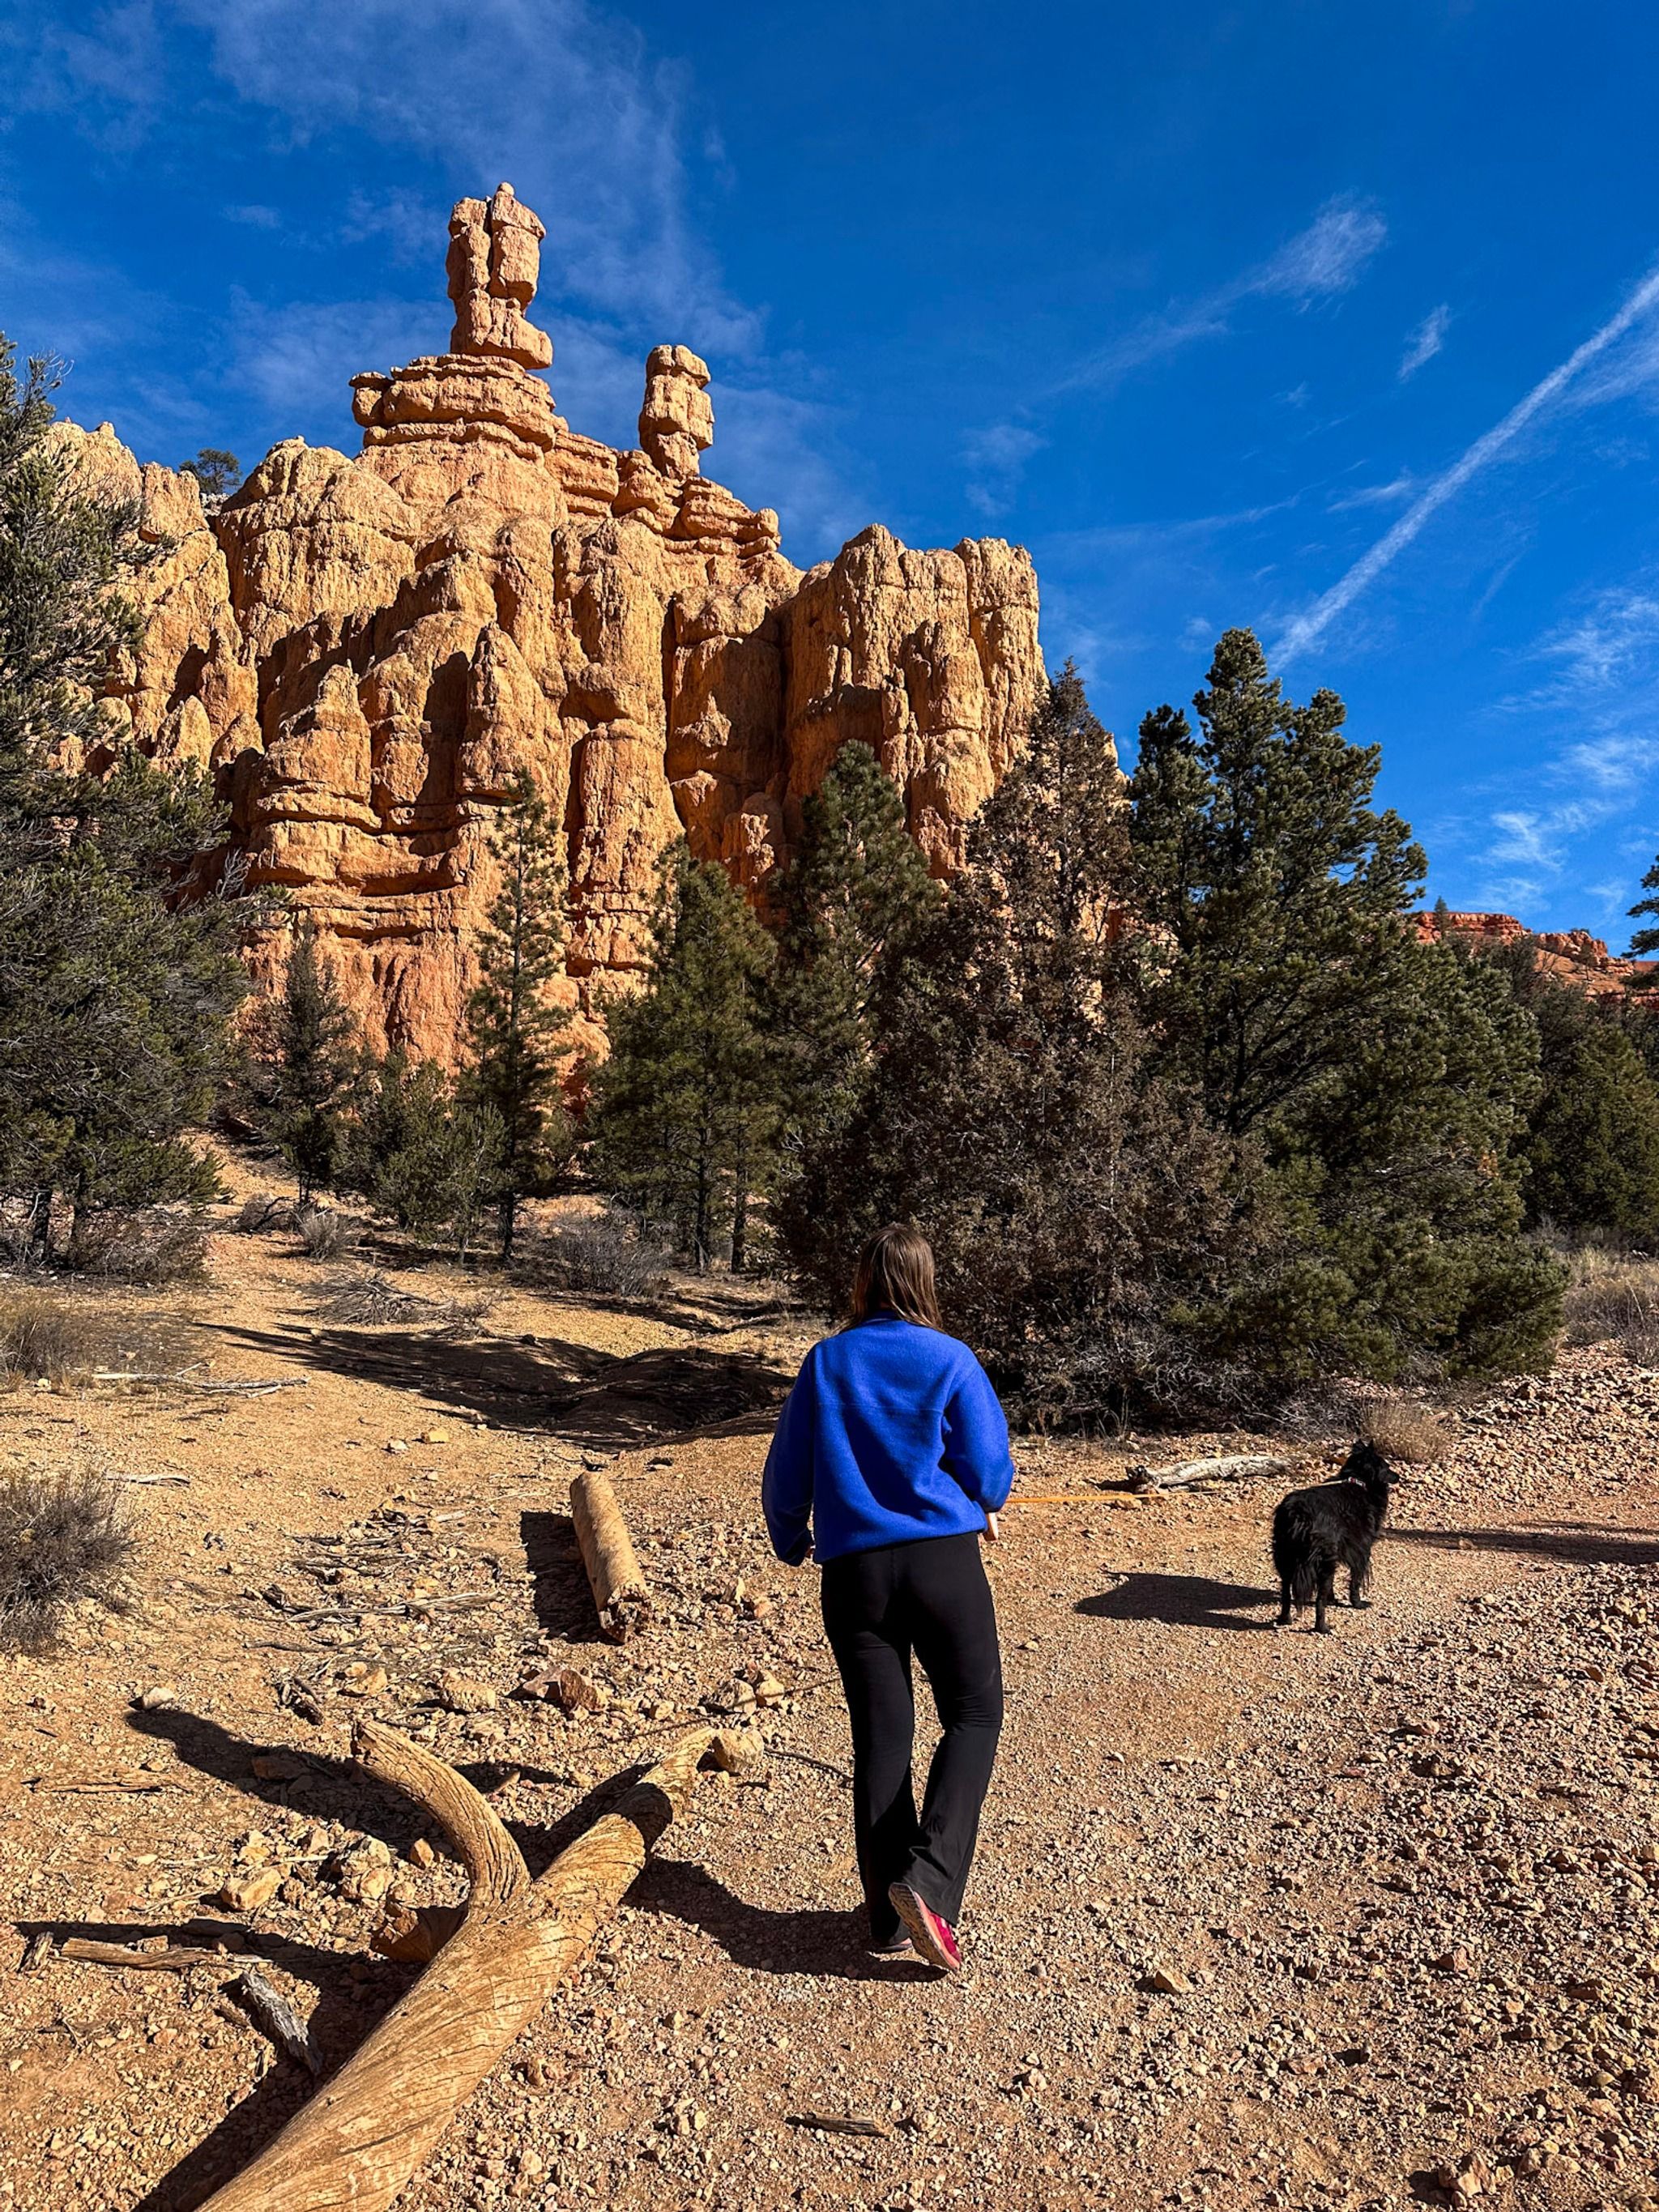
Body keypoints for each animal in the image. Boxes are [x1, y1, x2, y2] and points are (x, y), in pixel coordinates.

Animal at [1270, 1440, 1398, 1634]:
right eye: (1387, 1467)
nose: (1398, 1477)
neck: (1359, 1482)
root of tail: (1298, 1514)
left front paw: (1334, 1599)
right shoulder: (1362, 1551)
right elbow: (1356, 1581)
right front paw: (1358, 1603)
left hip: (1285, 1556)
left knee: (1286, 1590)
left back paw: (1286, 1619)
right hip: (1324, 1561)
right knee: (1319, 1600)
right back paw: (1322, 1627)